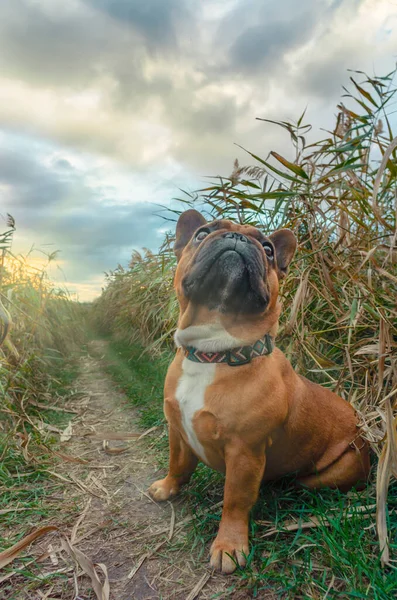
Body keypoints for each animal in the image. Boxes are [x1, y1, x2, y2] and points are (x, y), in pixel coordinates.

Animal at [148, 210, 368, 572]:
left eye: (268, 249)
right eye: (202, 233)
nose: (237, 238)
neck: (215, 351)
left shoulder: (245, 452)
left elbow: (235, 501)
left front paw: (228, 545)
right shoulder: (177, 430)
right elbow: (177, 463)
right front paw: (167, 487)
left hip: (335, 469)